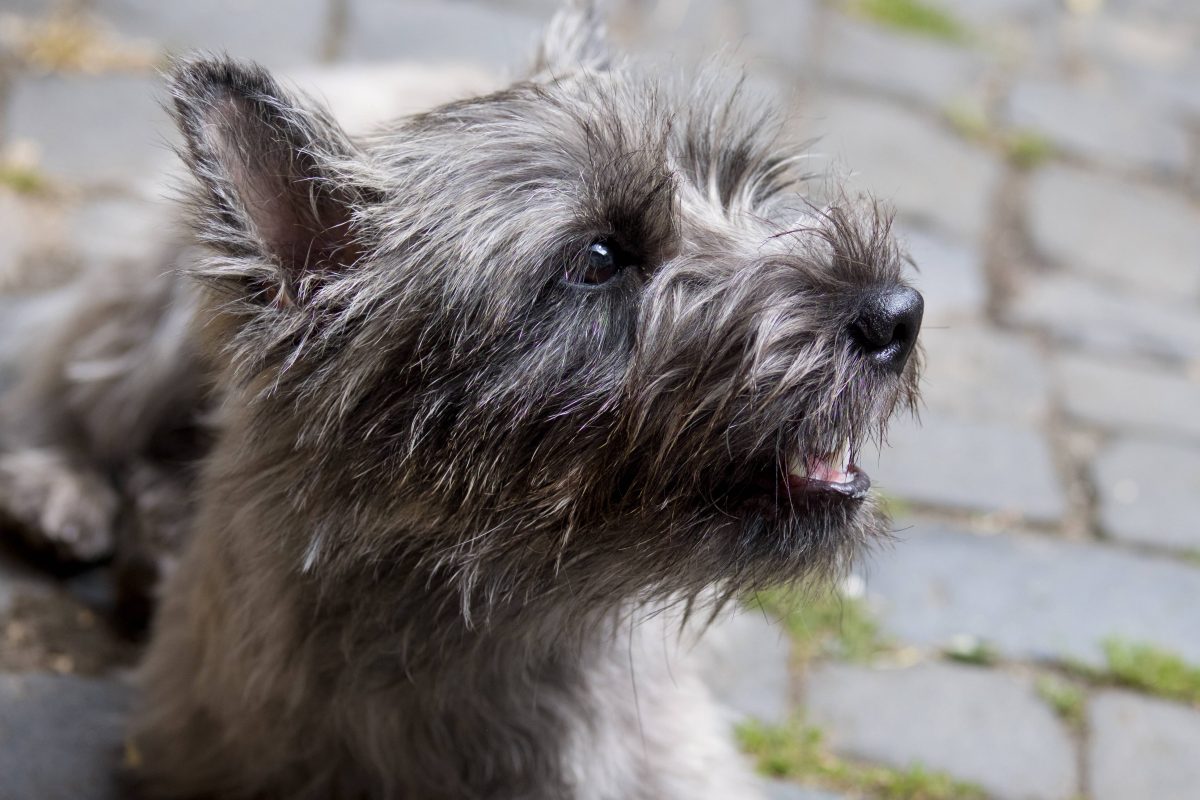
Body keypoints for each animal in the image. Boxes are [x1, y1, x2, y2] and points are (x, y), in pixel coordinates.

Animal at [0, 3, 921, 796]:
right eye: (598, 257)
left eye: (746, 192)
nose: (900, 313)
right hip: (156, 311)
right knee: (69, 376)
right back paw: (61, 491)